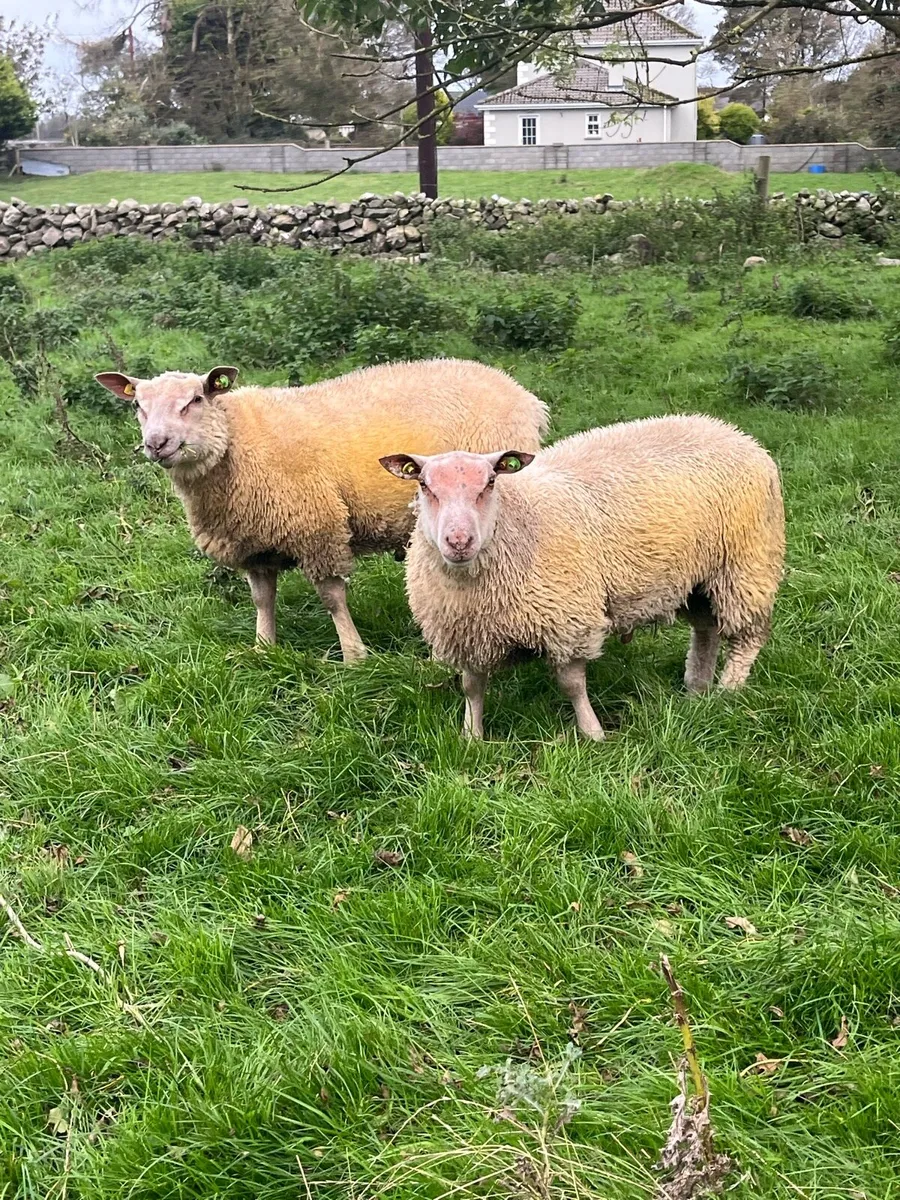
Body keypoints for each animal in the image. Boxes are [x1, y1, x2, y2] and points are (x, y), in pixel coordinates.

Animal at [95, 359, 548, 660]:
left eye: (195, 399)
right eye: (138, 407)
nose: (157, 443)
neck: (237, 444)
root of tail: (523, 395)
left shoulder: (317, 527)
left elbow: (331, 598)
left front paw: (354, 655)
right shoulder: (253, 542)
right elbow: (262, 598)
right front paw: (264, 648)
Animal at [381, 414, 785, 739]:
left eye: (491, 482)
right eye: (424, 486)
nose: (459, 541)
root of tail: (734, 432)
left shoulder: (567, 621)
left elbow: (572, 685)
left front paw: (592, 733)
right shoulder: (466, 633)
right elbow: (472, 686)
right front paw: (472, 736)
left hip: (747, 565)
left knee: (747, 638)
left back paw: (727, 691)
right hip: (700, 577)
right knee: (706, 629)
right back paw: (696, 689)